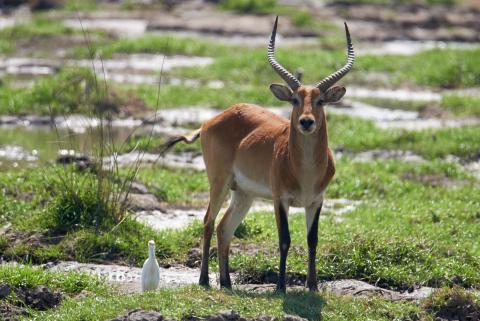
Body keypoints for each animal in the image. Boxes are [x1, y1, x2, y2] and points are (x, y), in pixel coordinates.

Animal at [163, 17, 354, 292]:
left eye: (320, 101)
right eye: (295, 100)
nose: (306, 122)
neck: (305, 172)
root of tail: (211, 121)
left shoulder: (316, 201)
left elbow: (312, 240)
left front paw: (313, 287)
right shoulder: (280, 199)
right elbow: (284, 239)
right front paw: (280, 287)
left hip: (244, 194)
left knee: (224, 227)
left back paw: (226, 283)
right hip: (219, 183)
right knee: (209, 221)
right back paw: (204, 280)